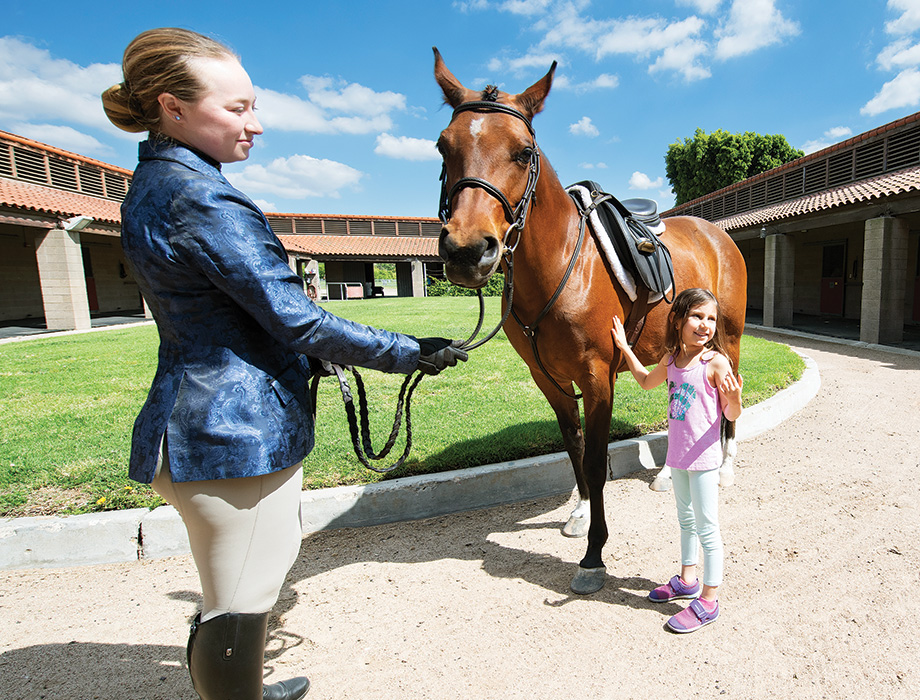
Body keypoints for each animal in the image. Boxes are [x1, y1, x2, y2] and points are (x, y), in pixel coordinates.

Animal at [433, 48, 747, 594]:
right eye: (442, 146)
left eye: (523, 152)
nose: (467, 250)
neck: (562, 264)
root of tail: (716, 233)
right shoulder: (550, 380)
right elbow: (575, 448)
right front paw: (580, 515)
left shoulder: (598, 378)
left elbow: (598, 464)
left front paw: (594, 555)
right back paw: (667, 474)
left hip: (727, 338)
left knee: (730, 395)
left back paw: (725, 468)